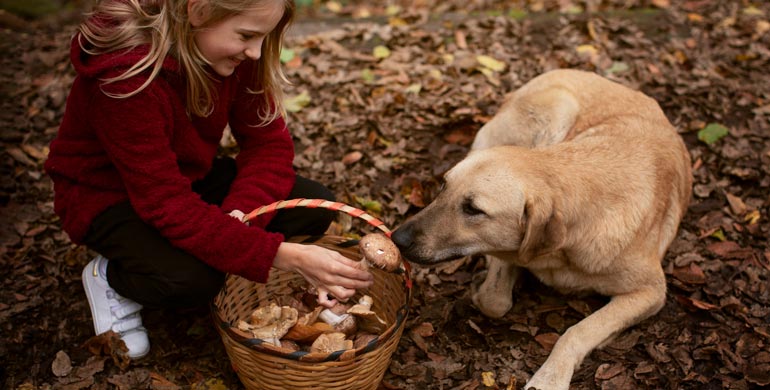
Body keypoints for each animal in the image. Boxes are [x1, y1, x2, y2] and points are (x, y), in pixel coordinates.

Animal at [390, 68, 688, 388]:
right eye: (444, 186)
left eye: (473, 209)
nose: (397, 239)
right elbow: (494, 298)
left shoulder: (651, 292)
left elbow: (577, 331)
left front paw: (550, 378)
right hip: (558, 110)